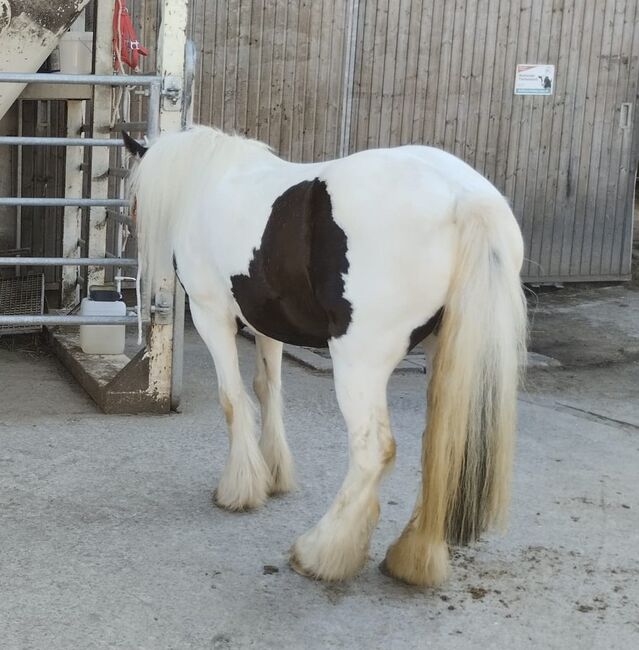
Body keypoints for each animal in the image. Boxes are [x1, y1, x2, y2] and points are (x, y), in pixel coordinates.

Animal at [124, 124, 524, 584]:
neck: (206, 180)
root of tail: (465, 197)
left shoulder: (212, 316)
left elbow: (232, 399)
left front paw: (240, 489)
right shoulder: (267, 322)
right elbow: (267, 389)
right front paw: (274, 474)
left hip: (358, 363)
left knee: (372, 450)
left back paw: (321, 551)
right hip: (444, 354)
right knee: (441, 447)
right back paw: (413, 556)